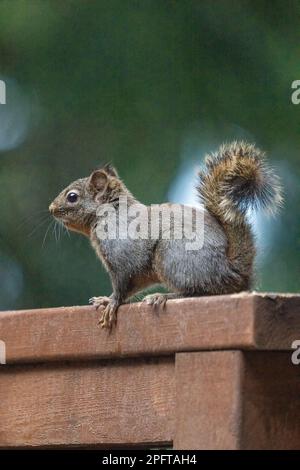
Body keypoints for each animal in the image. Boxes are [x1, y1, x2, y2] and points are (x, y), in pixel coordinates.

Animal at [48, 141, 282, 328]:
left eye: (72, 197)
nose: (51, 208)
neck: (109, 214)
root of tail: (233, 270)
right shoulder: (138, 272)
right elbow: (132, 286)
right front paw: (105, 300)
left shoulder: (122, 257)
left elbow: (122, 285)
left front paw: (112, 303)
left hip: (172, 255)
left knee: (200, 292)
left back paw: (163, 296)